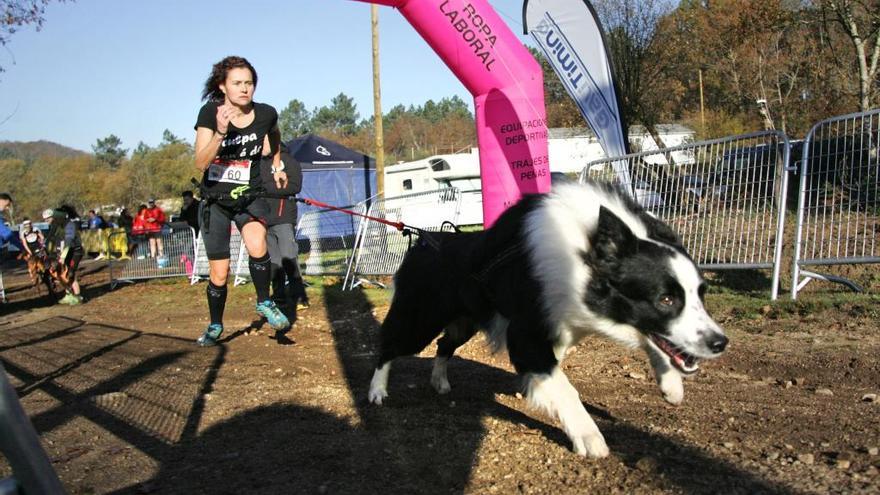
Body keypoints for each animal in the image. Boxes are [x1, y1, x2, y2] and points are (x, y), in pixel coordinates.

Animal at [366, 180, 728, 460]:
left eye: (701, 294)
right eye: (665, 299)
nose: (720, 343)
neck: (584, 255)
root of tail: (423, 241)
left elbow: (654, 341)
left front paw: (671, 385)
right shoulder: (525, 336)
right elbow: (564, 387)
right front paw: (589, 436)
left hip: (465, 322)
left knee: (444, 344)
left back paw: (439, 381)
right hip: (419, 321)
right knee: (389, 345)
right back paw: (377, 392)